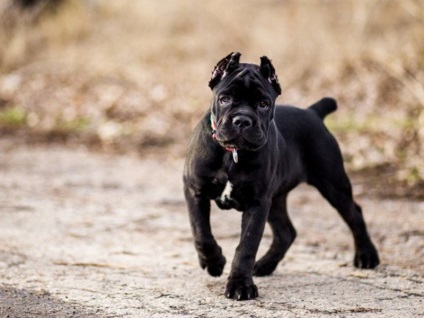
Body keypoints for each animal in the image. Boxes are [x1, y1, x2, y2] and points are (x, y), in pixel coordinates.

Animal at [184, 52, 380, 300]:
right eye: (224, 99)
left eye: (263, 104)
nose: (242, 121)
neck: (232, 153)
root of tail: (312, 112)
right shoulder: (195, 190)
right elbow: (201, 233)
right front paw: (214, 263)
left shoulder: (257, 202)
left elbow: (247, 245)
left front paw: (240, 285)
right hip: (277, 198)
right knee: (286, 232)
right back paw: (265, 265)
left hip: (332, 183)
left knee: (354, 213)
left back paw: (367, 256)